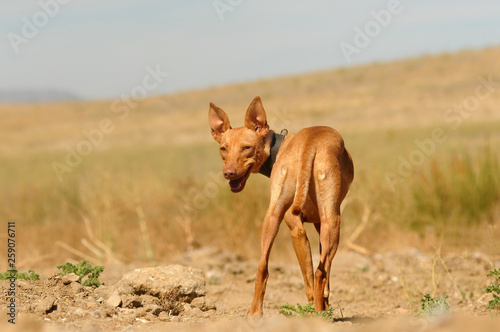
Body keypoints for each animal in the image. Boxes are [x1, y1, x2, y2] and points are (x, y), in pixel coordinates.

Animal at [209, 96, 354, 316]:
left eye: (246, 147)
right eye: (223, 148)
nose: (229, 173)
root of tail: (309, 143)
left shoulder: (300, 225)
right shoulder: (317, 224)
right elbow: (324, 276)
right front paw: (325, 304)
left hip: (273, 217)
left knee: (263, 267)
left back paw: (255, 312)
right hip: (332, 221)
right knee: (320, 273)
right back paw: (319, 313)